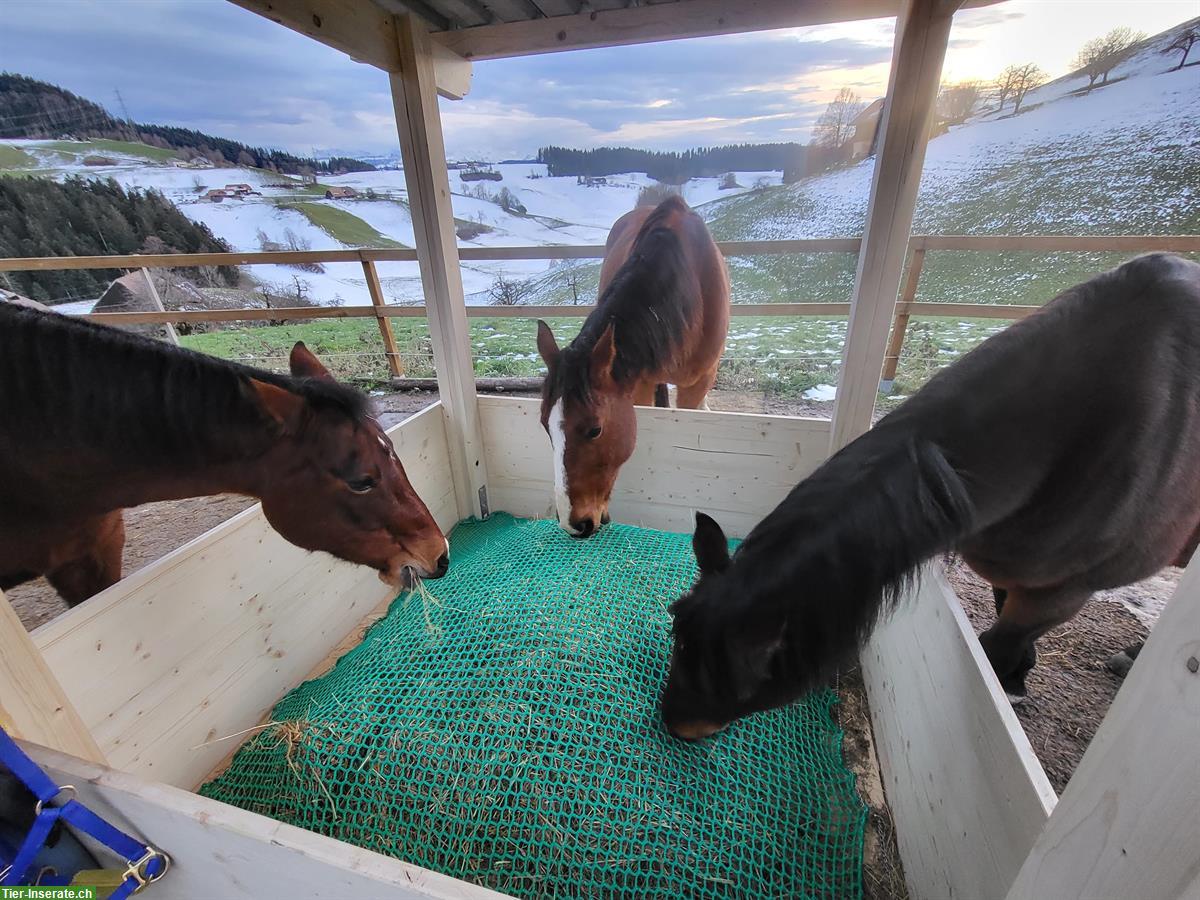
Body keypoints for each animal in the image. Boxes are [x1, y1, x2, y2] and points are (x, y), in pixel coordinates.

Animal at [662, 254, 1200, 739]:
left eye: (741, 675)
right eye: (677, 640)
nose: (673, 725)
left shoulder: (1063, 589)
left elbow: (1001, 642)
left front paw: (1008, 685)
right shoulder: (1008, 564)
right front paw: (1018, 676)